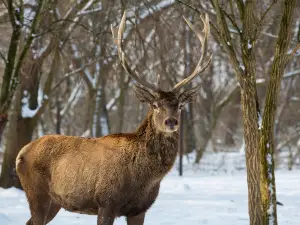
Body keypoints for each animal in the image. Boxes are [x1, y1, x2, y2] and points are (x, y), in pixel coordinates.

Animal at [15, 10, 211, 225]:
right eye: (155, 105)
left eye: (180, 106)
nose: (171, 121)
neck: (144, 179)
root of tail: (20, 153)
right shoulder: (106, 201)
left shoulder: (140, 209)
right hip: (36, 193)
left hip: (55, 201)